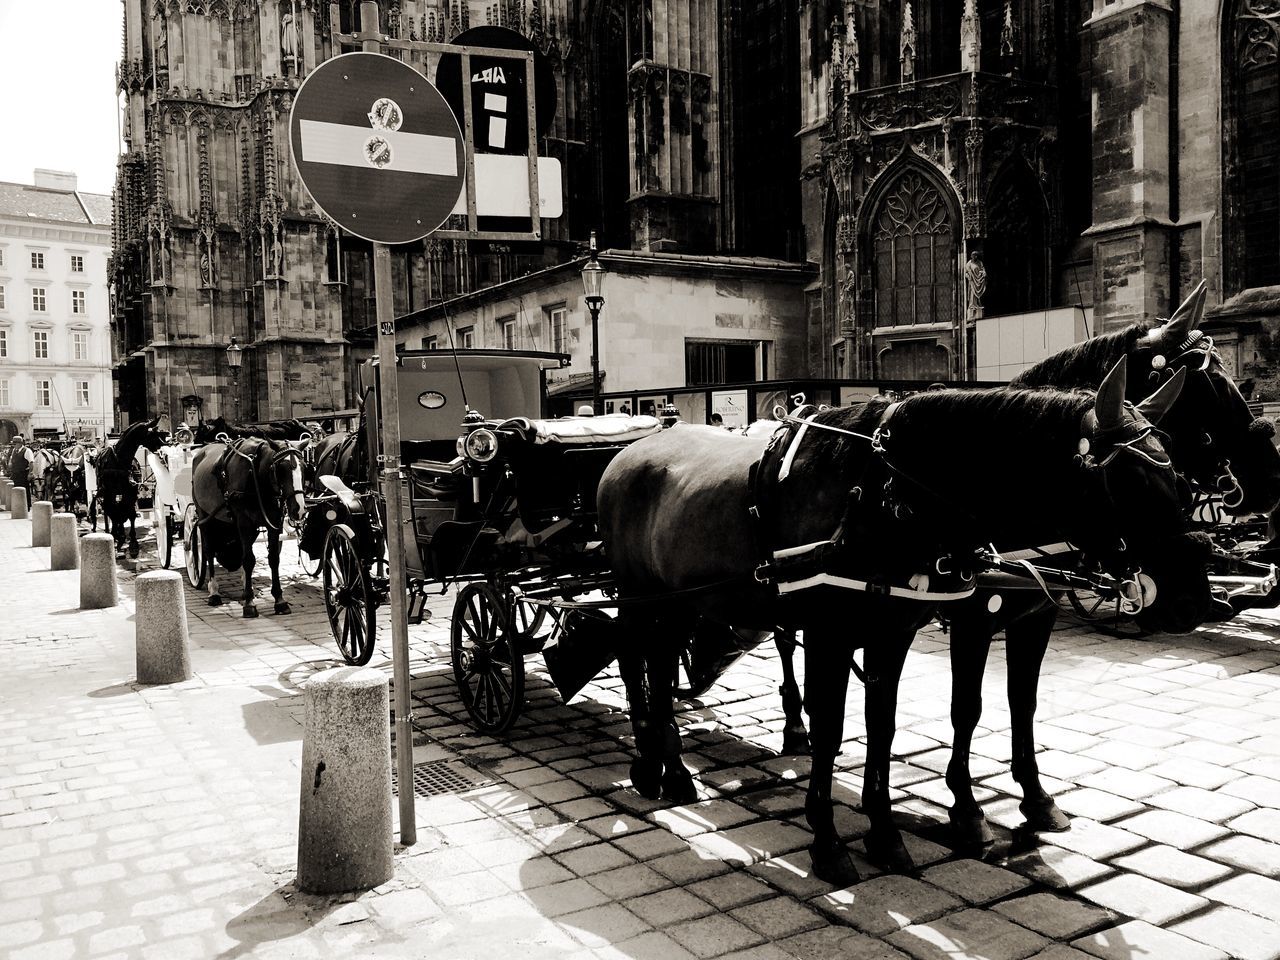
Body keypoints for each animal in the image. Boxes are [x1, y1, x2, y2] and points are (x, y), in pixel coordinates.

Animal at [88, 417, 170, 560]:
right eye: (152, 433)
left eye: (160, 432)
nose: (166, 446)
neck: (119, 460)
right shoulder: (110, 492)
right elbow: (115, 512)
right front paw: (119, 537)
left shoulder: (130, 491)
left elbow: (129, 513)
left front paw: (132, 543)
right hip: (105, 492)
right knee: (109, 509)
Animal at [189, 440, 309, 619]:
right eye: (281, 468)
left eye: (304, 467)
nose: (299, 509)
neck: (256, 476)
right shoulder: (244, 522)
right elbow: (248, 560)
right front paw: (249, 604)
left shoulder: (274, 523)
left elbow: (273, 559)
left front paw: (279, 601)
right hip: (204, 517)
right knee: (209, 551)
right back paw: (214, 592)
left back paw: (245, 586)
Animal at [599, 363, 1208, 890]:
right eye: (1126, 483)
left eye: (1177, 474)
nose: (1194, 601)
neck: (884, 491)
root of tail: (630, 450)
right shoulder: (844, 633)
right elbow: (843, 728)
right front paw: (830, 840)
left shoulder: (901, 630)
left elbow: (891, 724)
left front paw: (887, 830)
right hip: (638, 595)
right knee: (636, 661)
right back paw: (655, 765)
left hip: (680, 603)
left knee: (660, 664)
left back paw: (667, 766)